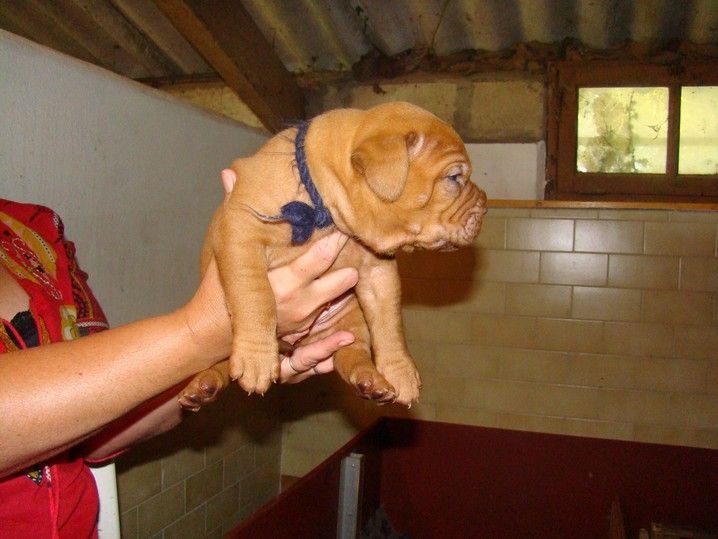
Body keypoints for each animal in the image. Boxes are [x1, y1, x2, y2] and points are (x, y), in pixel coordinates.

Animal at [179, 101, 487, 410]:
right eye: (454, 177)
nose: (485, 206)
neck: (324, 204)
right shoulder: (241, 228)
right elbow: (254, 294)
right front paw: (257, 358)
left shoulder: (379, 272)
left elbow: (390, 325)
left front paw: (401, 373)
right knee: (218, 362)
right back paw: (204, 385)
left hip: (350, 324)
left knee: (352, 353)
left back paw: (369, 381)